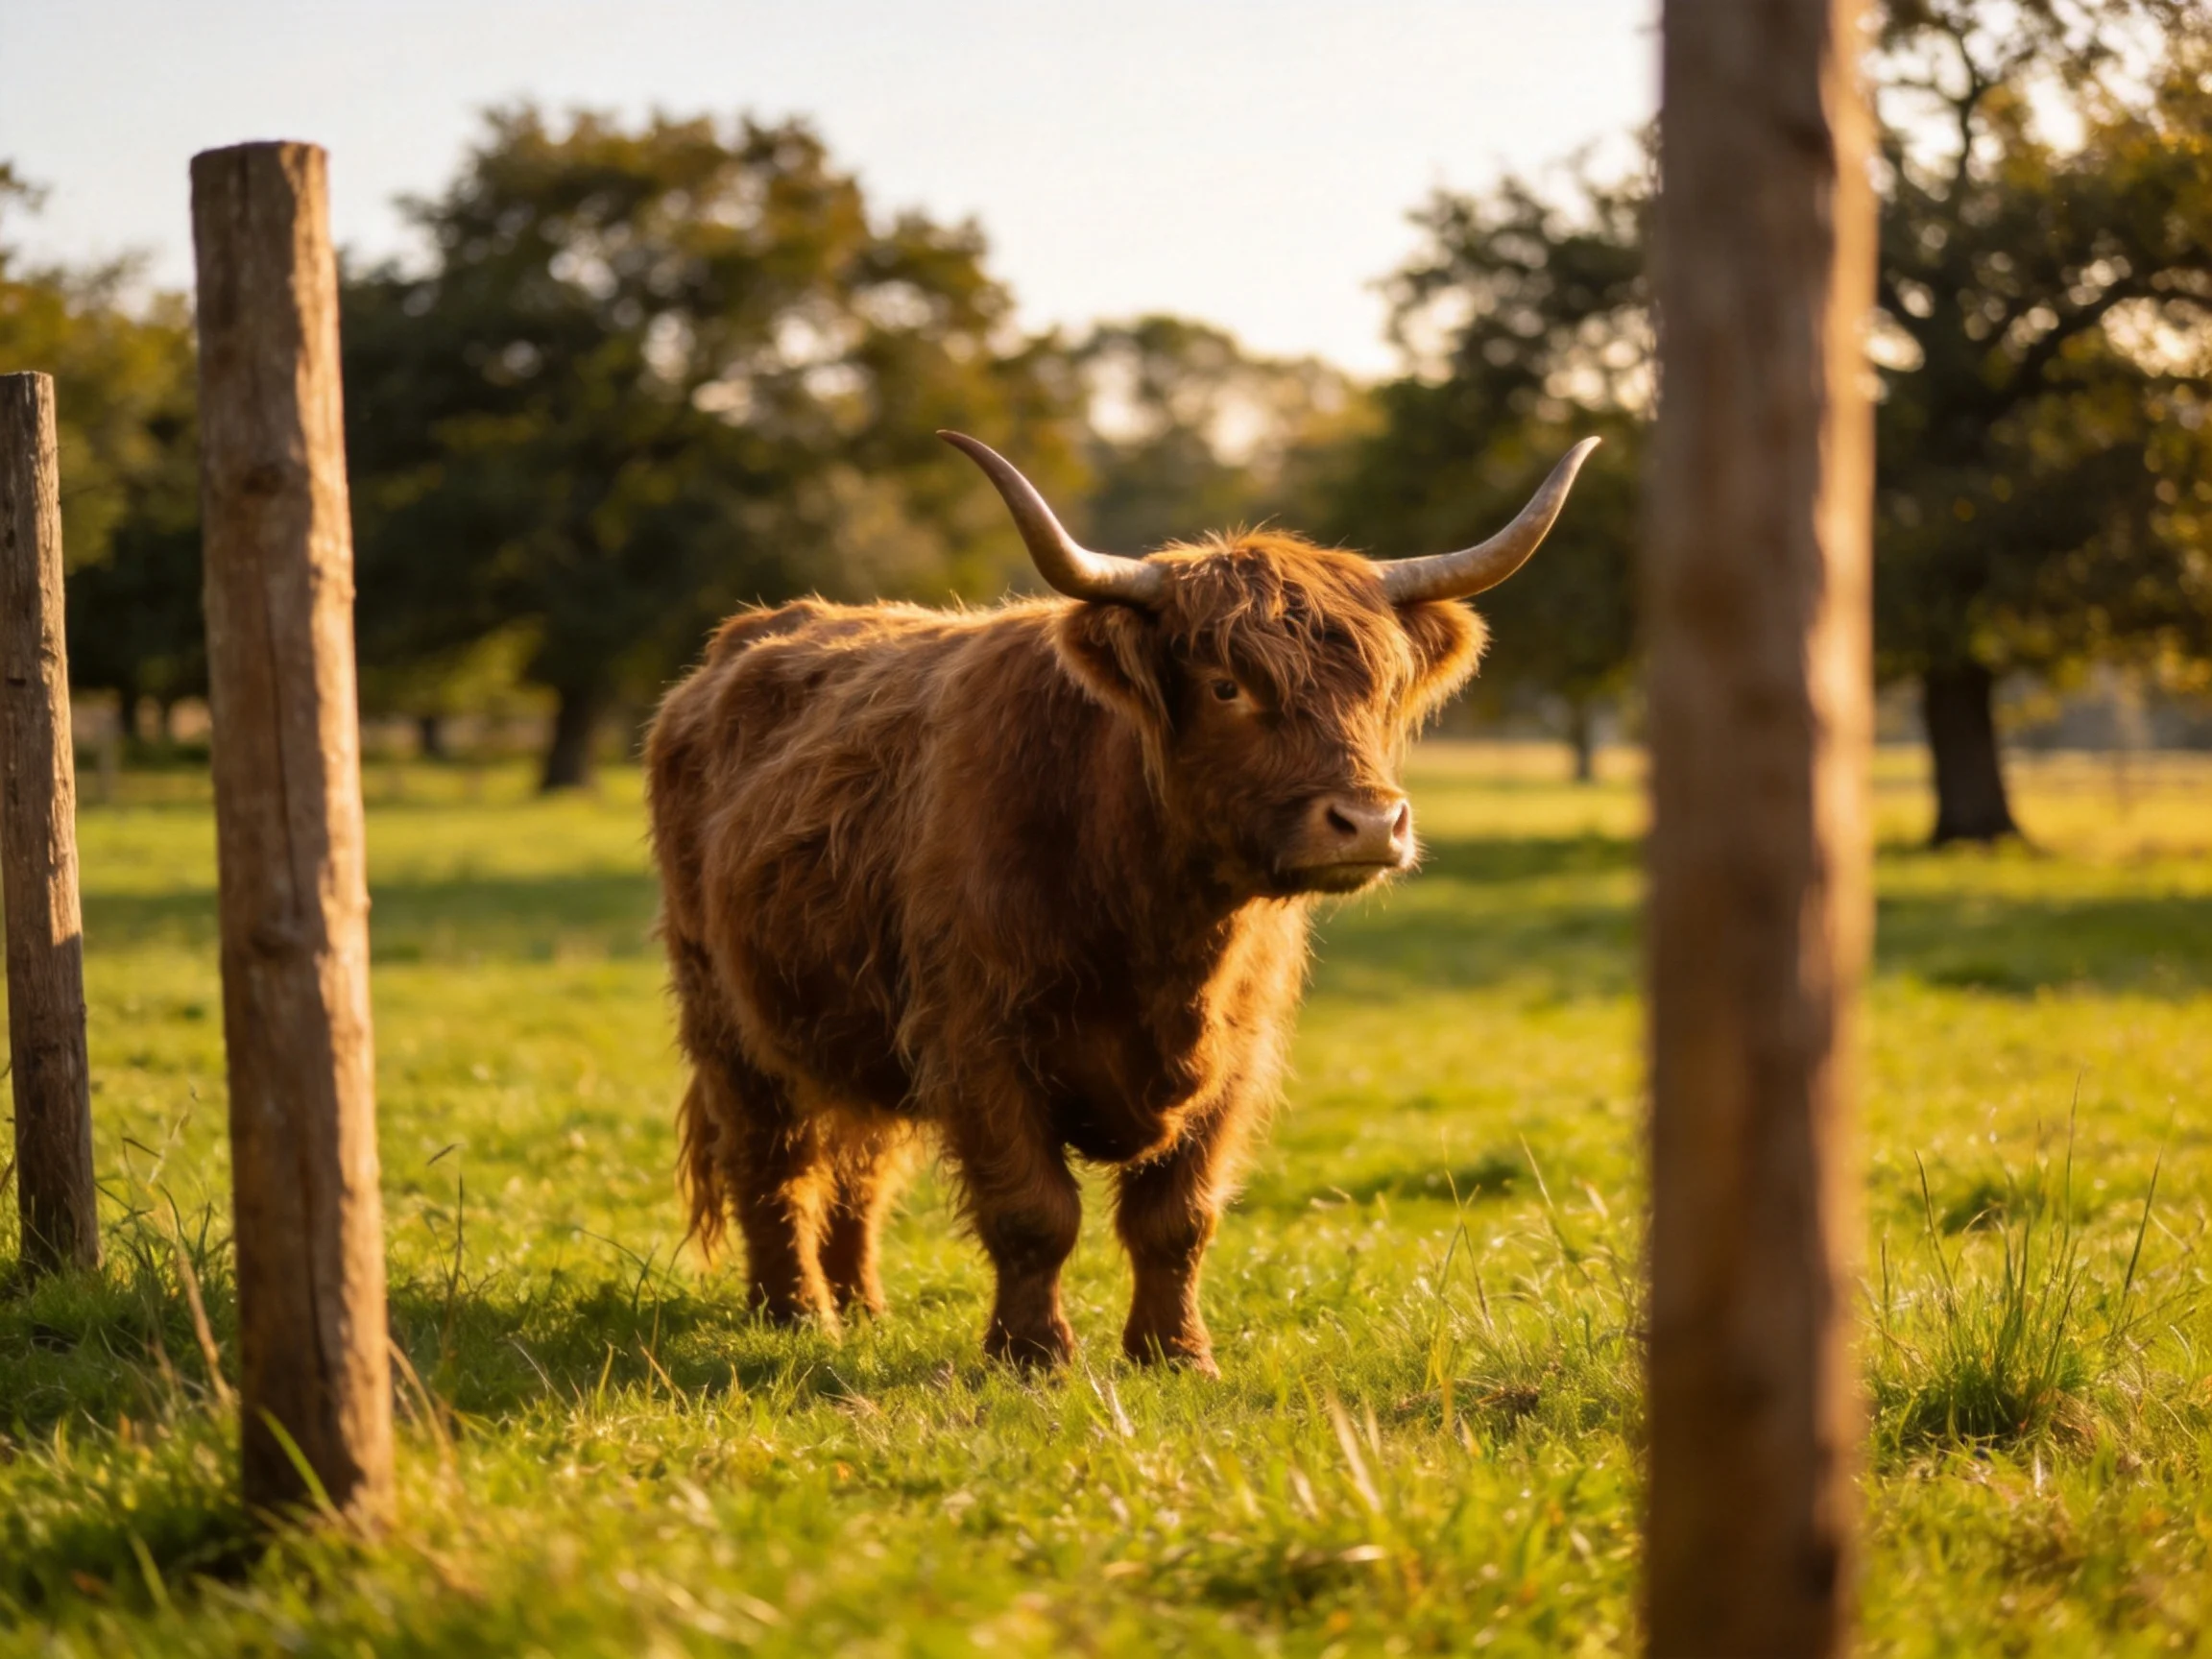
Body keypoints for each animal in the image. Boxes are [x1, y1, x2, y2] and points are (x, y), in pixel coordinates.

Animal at [645, 431, 1596, 1372]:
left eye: (1382, 687)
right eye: (1225, 685)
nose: (1368, 822)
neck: (1159, 925)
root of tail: (741, 643)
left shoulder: (1236, 1056)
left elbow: (1178, 1217)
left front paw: (1175, 1354)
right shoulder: (976, 1040)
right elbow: (1034, 1211)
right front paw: (1033, 1356)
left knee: (861, 1162)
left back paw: (862, 1305)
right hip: (726, 1019)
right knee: (772, 1162)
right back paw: (796, 1314)